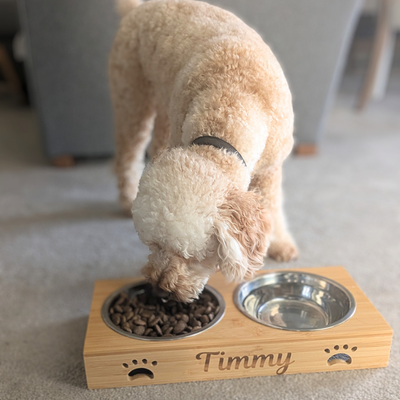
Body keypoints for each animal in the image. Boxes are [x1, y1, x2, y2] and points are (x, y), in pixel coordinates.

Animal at [108, 0, 296, 302]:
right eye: (153, 244)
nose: (160, 290)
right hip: (132, 98)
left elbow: (273, 205)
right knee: (127, 155)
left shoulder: (271, 168)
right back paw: (126, 197)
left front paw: (279, 244)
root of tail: (140, 7)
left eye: (192, 256)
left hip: (164, 105)